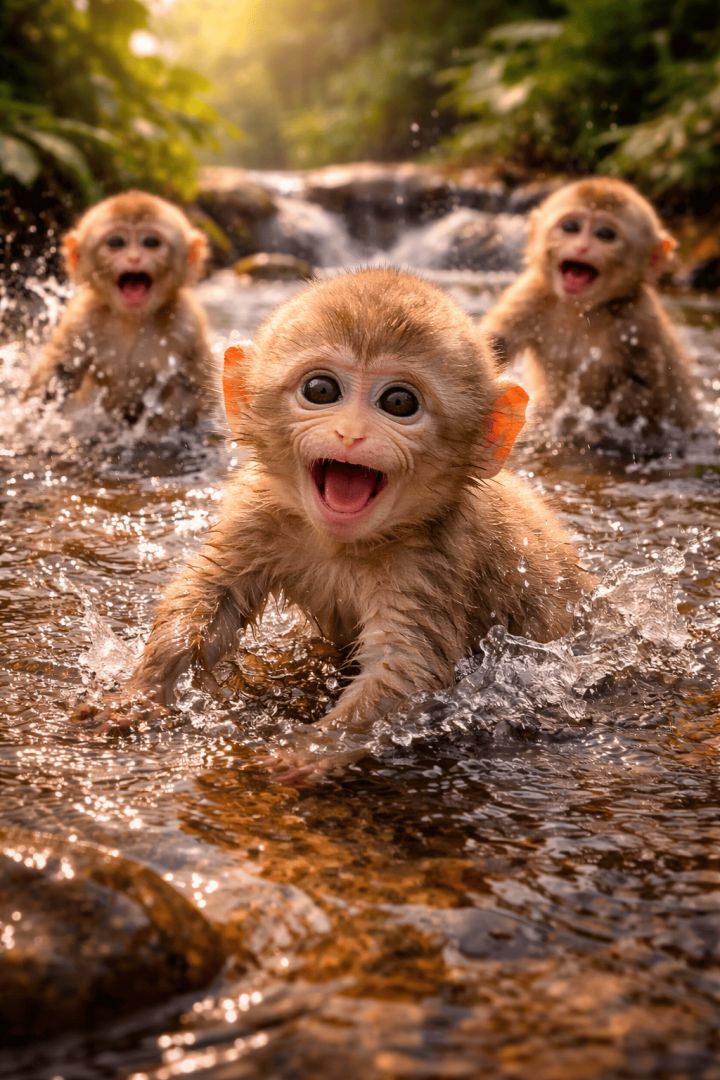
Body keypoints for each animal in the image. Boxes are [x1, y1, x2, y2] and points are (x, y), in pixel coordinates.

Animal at [24, 191, 212, 430]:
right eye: (116, 243)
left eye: (151, 242)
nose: (134, 258)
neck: (131, 321)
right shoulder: (81, 319)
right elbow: (57, 375)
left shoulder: (187, 324)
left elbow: (195, 390)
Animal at [85, 268, 591, 780]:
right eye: (321, 391)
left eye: (399, 401)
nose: (351, 434)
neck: (342, 544)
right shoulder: (257, 511)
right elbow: (209, 596)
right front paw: (141, 694)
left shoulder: (434, 558)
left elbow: (405, 668)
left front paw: (310, 748)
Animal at [480, 177, 700, 436]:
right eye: (571, 227)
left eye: (605, 234)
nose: (582, 247)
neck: (579, 311)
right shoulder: (531, 294)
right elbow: (495, 343)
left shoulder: (639, 321)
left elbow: (642, 389)